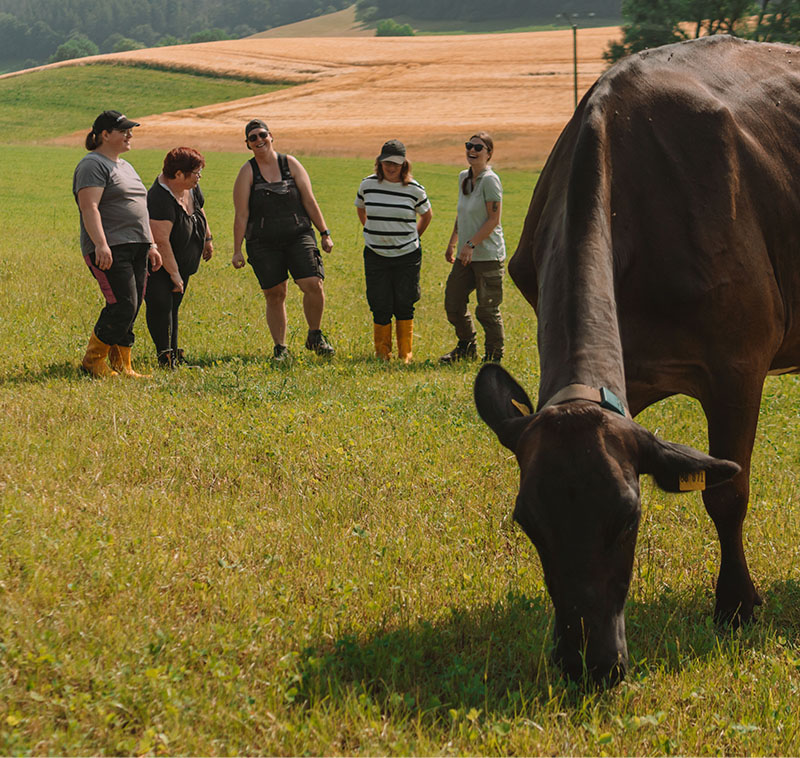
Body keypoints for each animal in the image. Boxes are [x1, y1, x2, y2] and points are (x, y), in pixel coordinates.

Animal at [472, 35, 800, 684]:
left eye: (628, 517)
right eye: (528, 522)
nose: (589, 665)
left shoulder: (739, 364)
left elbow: (726, 492)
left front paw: (737, 604)